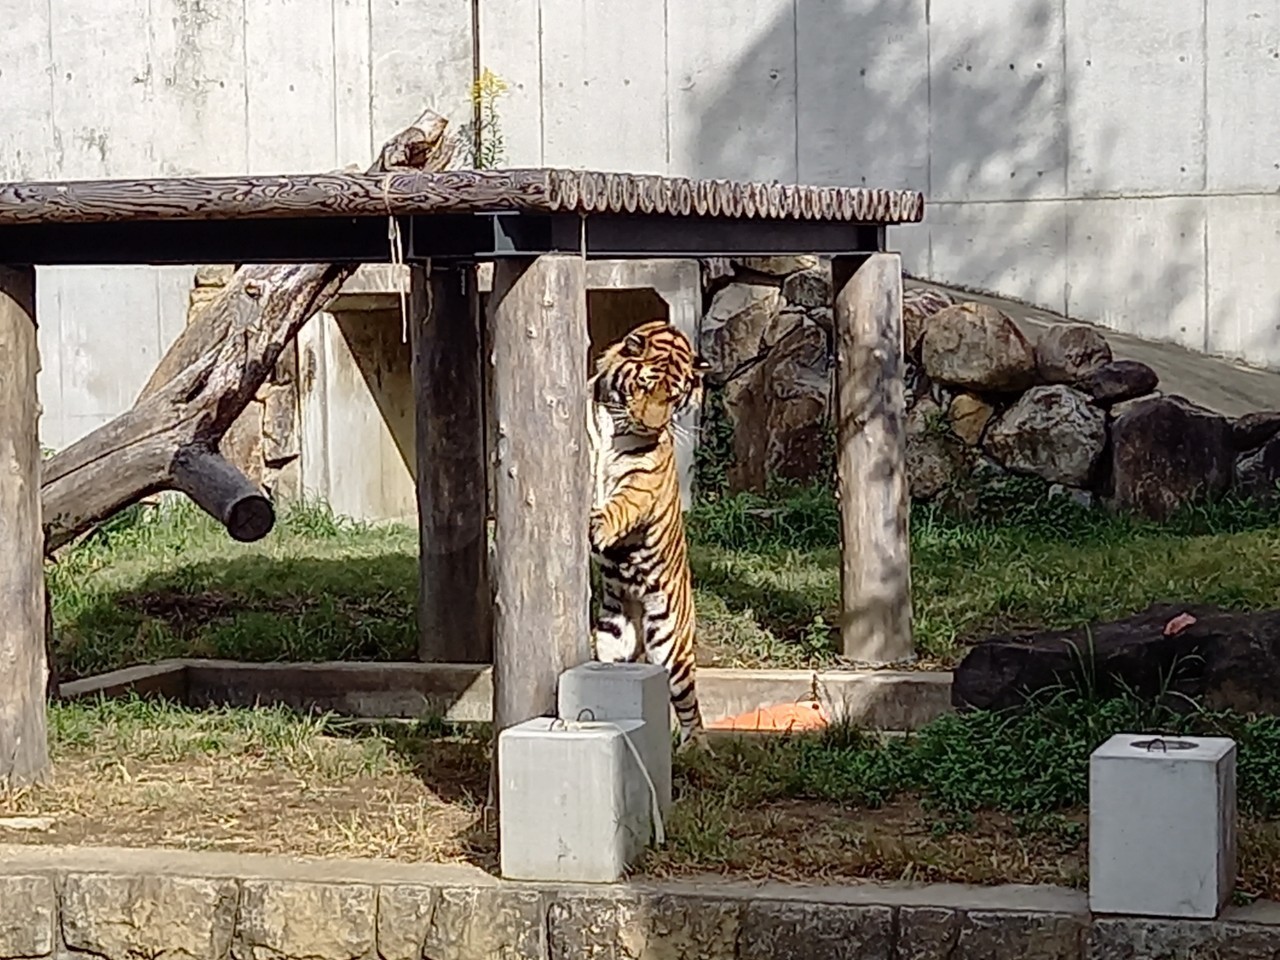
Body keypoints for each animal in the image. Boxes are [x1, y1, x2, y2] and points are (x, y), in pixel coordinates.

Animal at [586, 320, 716, 747]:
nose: (654, 425)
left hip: (669, 642)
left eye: (673, 397)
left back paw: (695, 747)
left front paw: (599, 526)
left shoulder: (644, 478)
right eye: (644, 385)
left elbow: (623, 501)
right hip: (613, 635)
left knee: (688, 701)